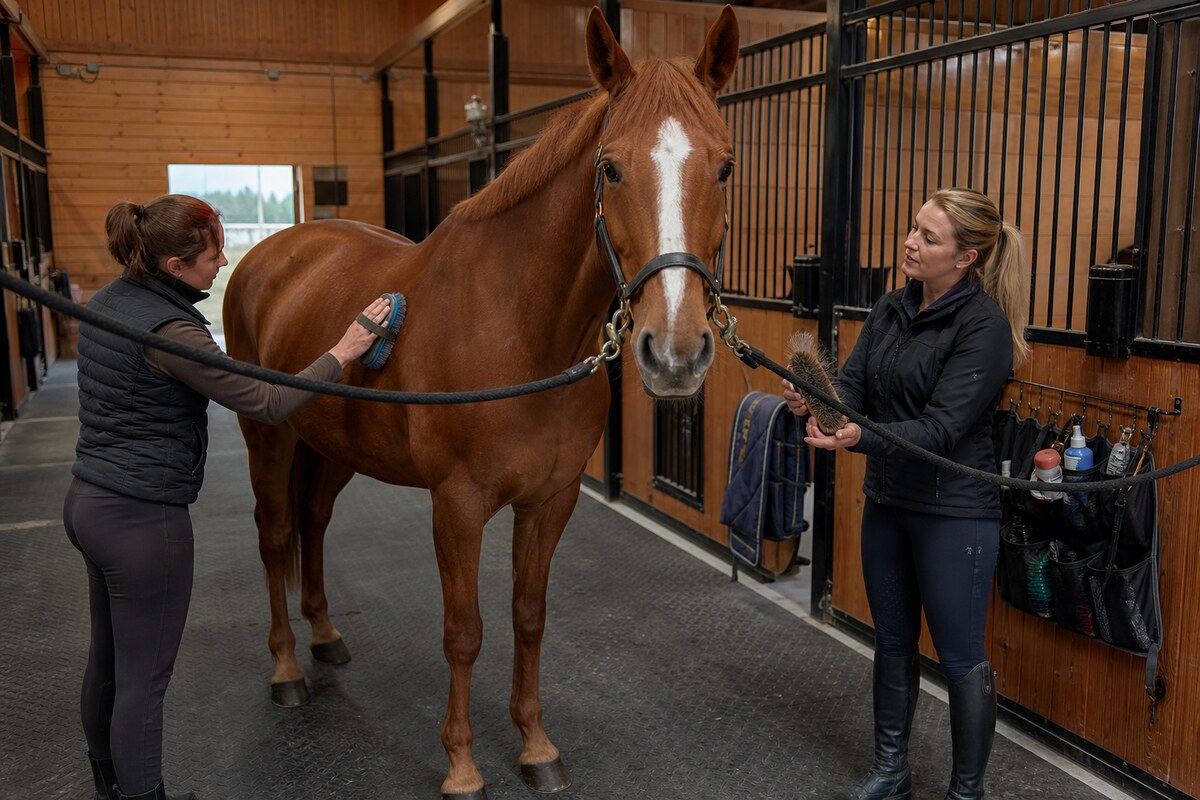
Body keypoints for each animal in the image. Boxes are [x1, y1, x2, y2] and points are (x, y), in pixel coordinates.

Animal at [222, 7, 739, 797]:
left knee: (312, 524)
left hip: (332, 446)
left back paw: (325, 636)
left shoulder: (551, 500)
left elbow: (528, 617)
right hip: (270, 437)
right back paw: (286, 669)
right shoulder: (457, 504)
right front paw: (462, 765)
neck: (520, 329)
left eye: (725, 167)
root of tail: (271, 256)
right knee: (276, 535)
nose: (675, 350)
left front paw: (535, 746)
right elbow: (464, 632)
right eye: (611, 168)